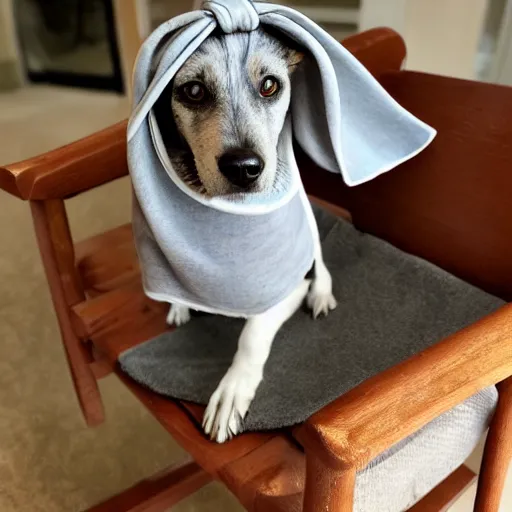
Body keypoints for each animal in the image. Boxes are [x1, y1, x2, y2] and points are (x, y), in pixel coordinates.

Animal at [153, 27, 336, 444]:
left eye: (270, 85)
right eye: (193, 90)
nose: (244, 168)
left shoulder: (287, 283)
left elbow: (252, 334)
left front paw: (232, 392)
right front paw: (179, 303)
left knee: (321, 263)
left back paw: (322, 295)